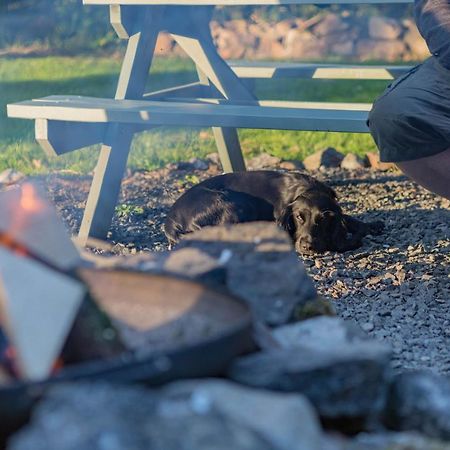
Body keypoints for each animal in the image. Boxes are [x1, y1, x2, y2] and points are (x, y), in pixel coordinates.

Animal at [165, 171, 384, 253]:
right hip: (236, 204)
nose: (307, 246)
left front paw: (371, 225)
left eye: (323, 219)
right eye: (298, 217)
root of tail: (170, 220)